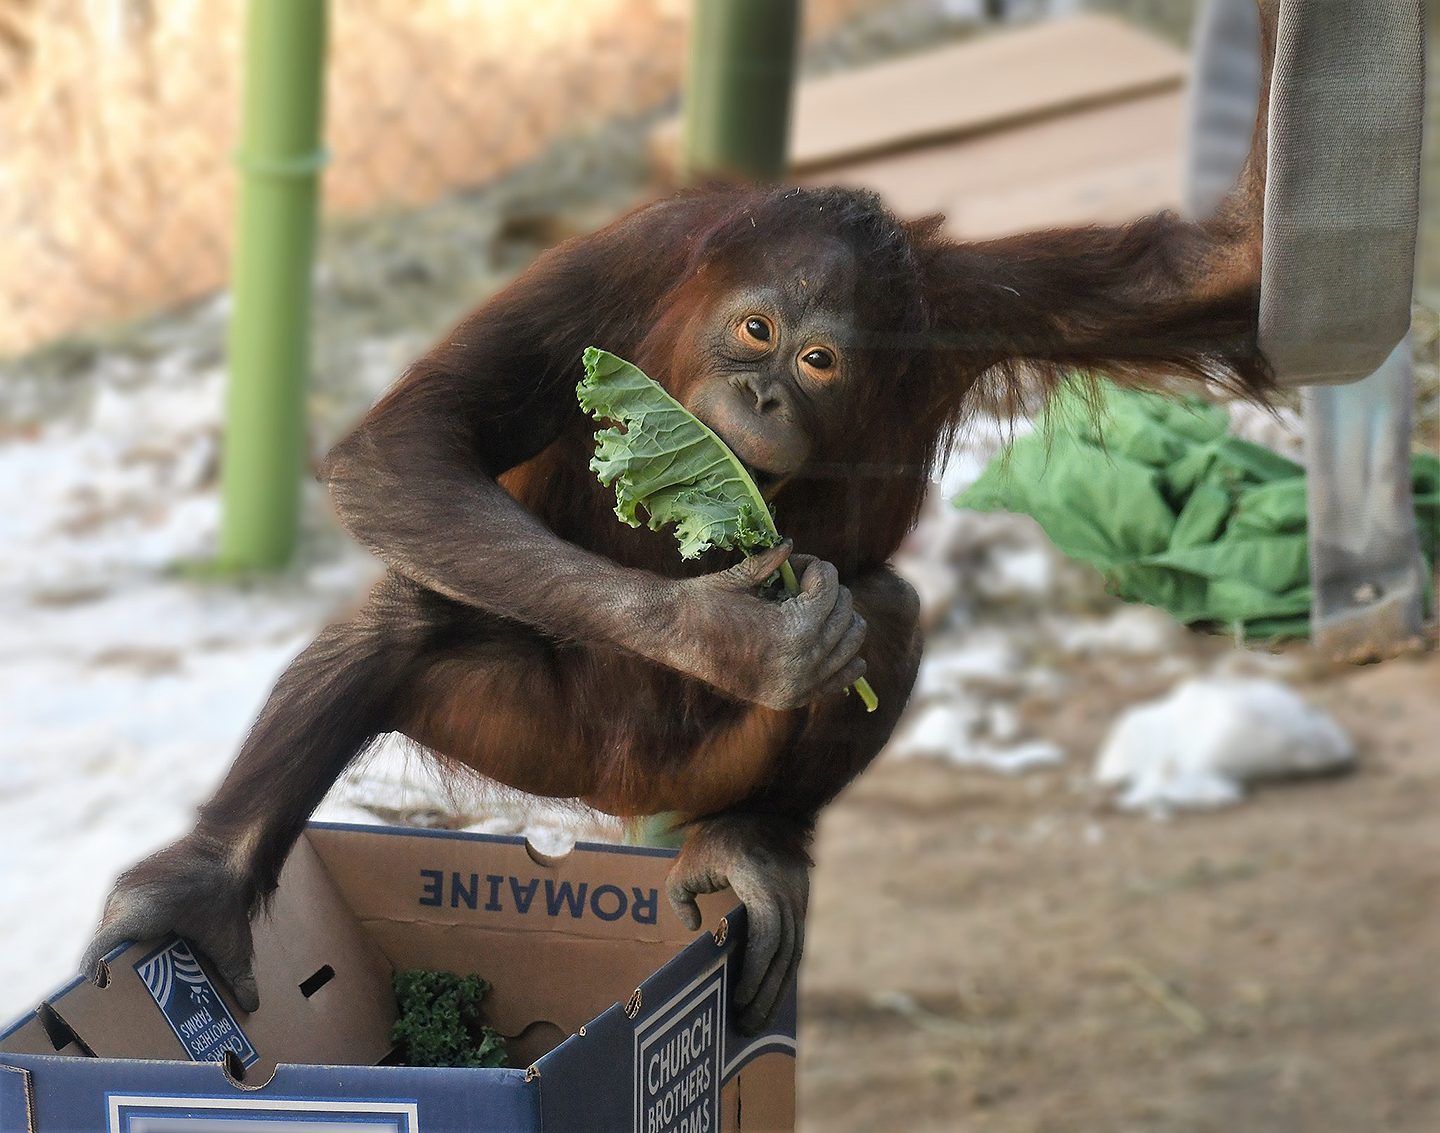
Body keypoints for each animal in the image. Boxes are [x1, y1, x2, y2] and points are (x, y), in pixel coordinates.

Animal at [83, 8, 1277, 1036]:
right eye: (754, 330)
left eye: (818, 358)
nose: (762, 397)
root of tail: (625, 800)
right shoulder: (613, 264)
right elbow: (410, 441)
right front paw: (728, 634)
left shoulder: (983, 301)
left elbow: (1218, 273)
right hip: (538, 729)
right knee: (401, 615)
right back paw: (201, 895)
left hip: (700, 766)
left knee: (881, 610)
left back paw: (752, 841)